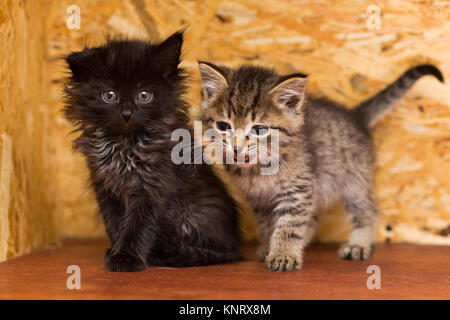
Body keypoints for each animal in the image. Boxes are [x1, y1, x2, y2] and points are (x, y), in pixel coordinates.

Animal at [62, 30, 241, 272]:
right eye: (110, 95)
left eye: (144, 95)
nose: (127, 114)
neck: (125, 145)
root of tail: (235, 247)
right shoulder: (105, 187)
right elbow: (115, 224)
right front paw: (116, 251)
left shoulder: (152, 187)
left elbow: (138, 225)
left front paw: (126, 258)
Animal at [200, 63, 442, 272]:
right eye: (223, 126)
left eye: (259, 129)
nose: (236, 147)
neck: (256, 169)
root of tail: (354, 115)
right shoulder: (260, 200)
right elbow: (269, 225)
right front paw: (270, 246)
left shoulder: (298, 190)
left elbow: (289, 225)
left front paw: (283, 254)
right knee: (315, 221)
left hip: (355, 180)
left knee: (367, 211)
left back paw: (359, 244)